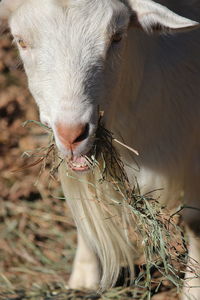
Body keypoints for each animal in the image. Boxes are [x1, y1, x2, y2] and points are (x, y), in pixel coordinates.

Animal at [0, 0, 199, 298]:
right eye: (21, 41)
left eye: (117, 36)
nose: (72, 134)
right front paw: (85, 276)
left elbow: (195, 221)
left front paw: (192, 290)